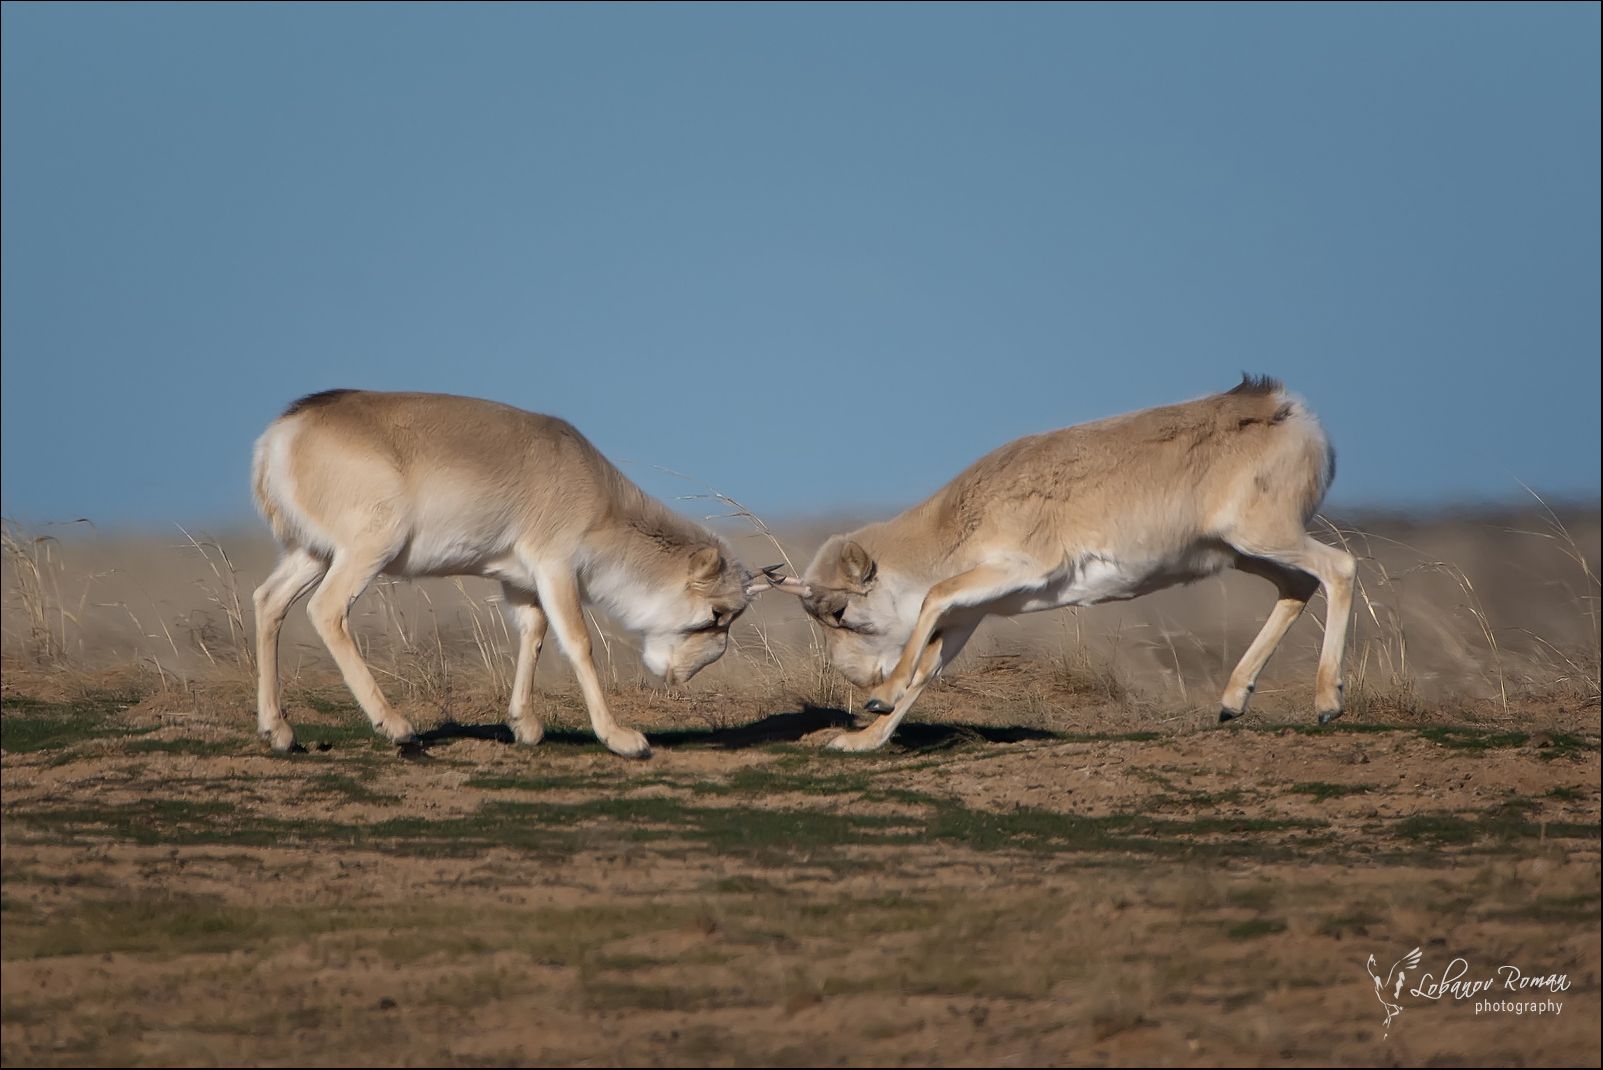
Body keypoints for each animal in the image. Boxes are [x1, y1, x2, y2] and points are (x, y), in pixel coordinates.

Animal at [250, 389, 777, 758]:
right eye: (716, 615)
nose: (681, 678)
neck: (600, 498)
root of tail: (282, 433)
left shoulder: (520, 584)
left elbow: (534, 634)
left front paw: (525, 724)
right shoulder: (556, 569)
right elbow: (578, 643)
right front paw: (620, 737)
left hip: (313, 554)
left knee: (268, 600)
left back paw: (279, 731)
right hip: (365, 551)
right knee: (326, 611)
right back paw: (395, 726)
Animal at [767, 376, 1356, 752]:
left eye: (840, 613)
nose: (853, 677)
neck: (951, 523)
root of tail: (1290, 410)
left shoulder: (1015, 572)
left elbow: (932, 602)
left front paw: (879, 698)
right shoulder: (968, 615)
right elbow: (926, 670)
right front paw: (861, 740)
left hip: (1263, 538)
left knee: (1340, 568)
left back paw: (1327, 701)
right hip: (1241, 554)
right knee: (1296, 588)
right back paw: (1234, 699)